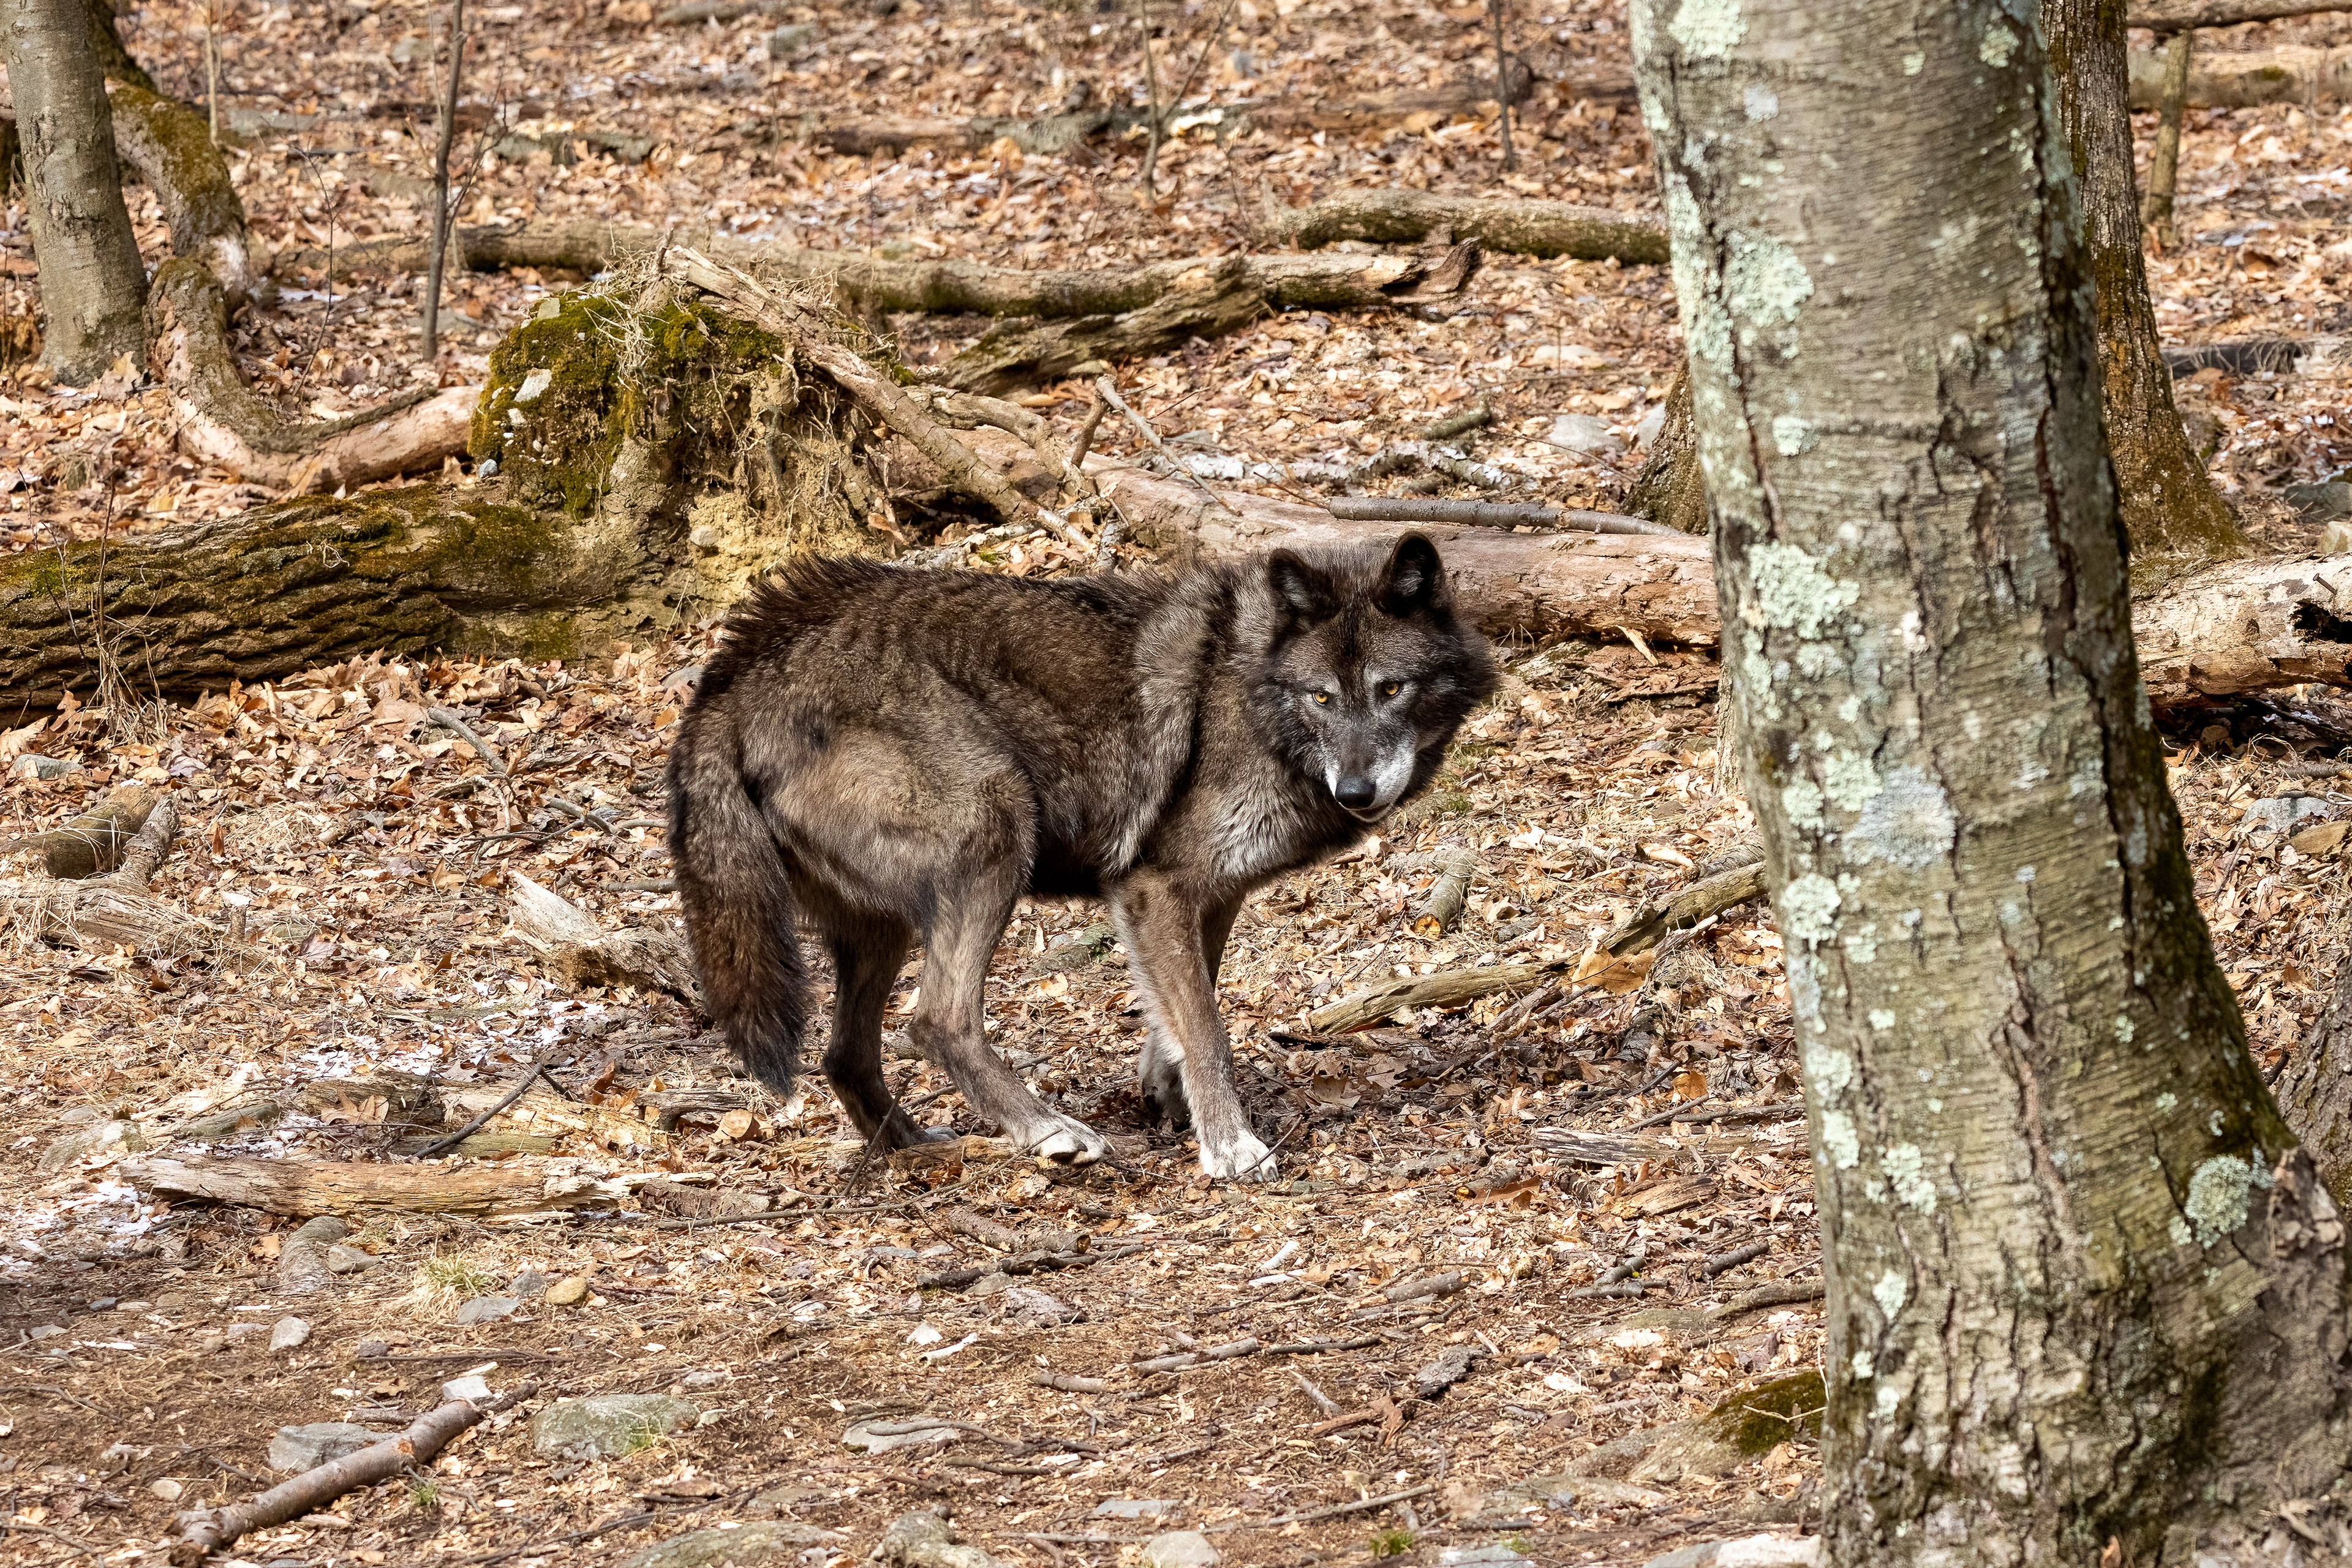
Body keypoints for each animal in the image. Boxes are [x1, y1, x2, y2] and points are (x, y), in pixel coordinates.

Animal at [667, 531, 1496, 1182]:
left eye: (1391, 689)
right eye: (1322, 697)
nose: (1356, 790)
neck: (1254, 691)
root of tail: (734, 675)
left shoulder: (1207, 894)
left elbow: (1181, 1011)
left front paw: (1169, 1098)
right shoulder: (1157, 885)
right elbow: (1207, 1027)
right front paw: (1230, 1146)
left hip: (885, 926)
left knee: (845, 1054)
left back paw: (917, 1146)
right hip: (997, 824)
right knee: (937, 1019)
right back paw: (1045, 1132)